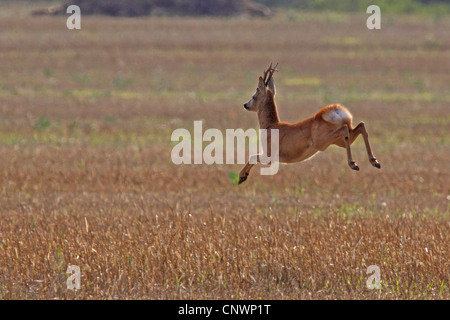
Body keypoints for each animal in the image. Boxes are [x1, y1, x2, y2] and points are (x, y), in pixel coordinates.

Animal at [239, 62, 380, 185]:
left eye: (254, 95)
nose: (245, 105)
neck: (270, 126)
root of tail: (335, 110)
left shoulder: (269, 157)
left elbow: (252, 156)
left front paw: (241, 177)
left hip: (322, 141)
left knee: (345, 129)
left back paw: (354, 164)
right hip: (339, 140)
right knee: (361, 126)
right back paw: (374, 162)